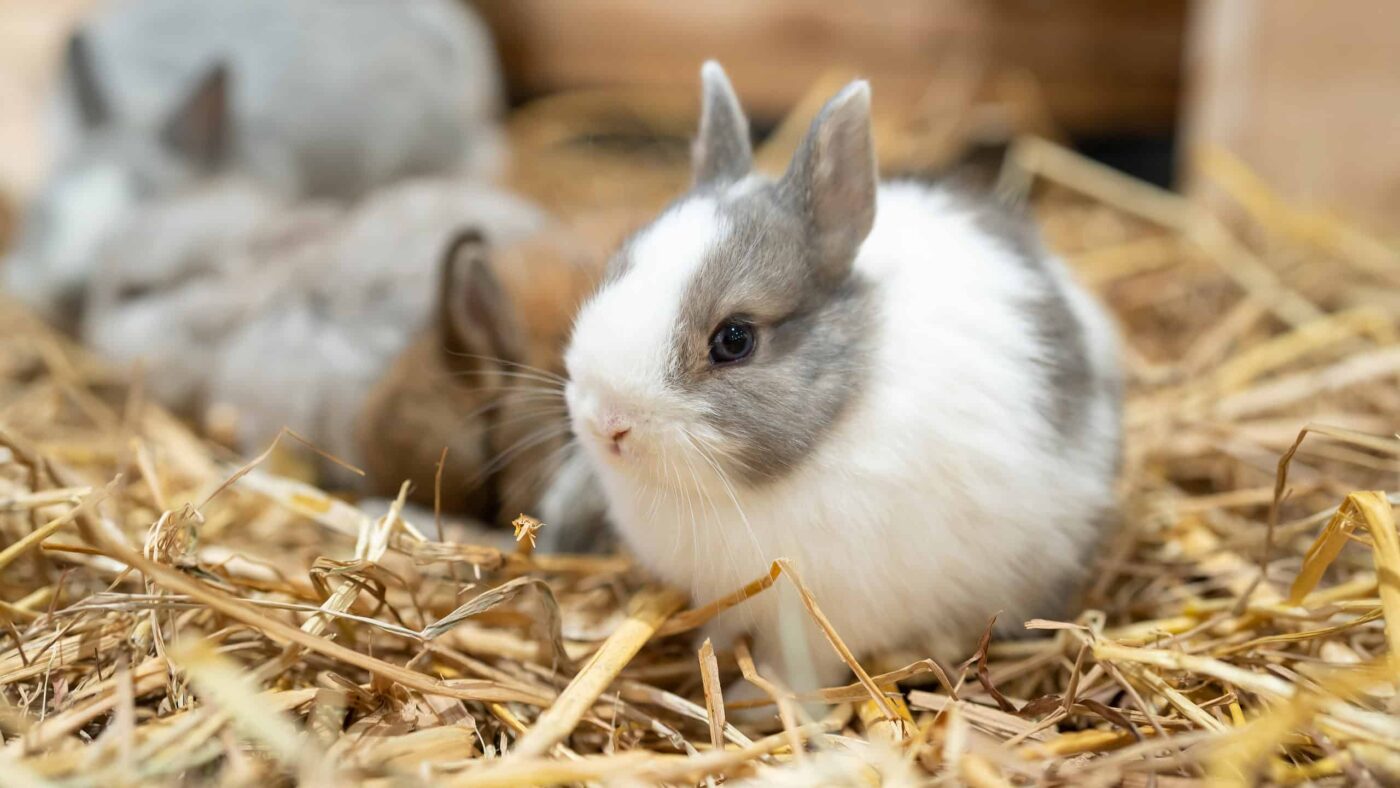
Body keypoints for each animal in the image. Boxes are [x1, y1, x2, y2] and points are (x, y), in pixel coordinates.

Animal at [551, 63, 1123, 694]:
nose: (607, 422)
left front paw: (766, 701)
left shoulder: (819, 618)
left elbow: (797, 671)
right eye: (616, 270)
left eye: (735, 340)